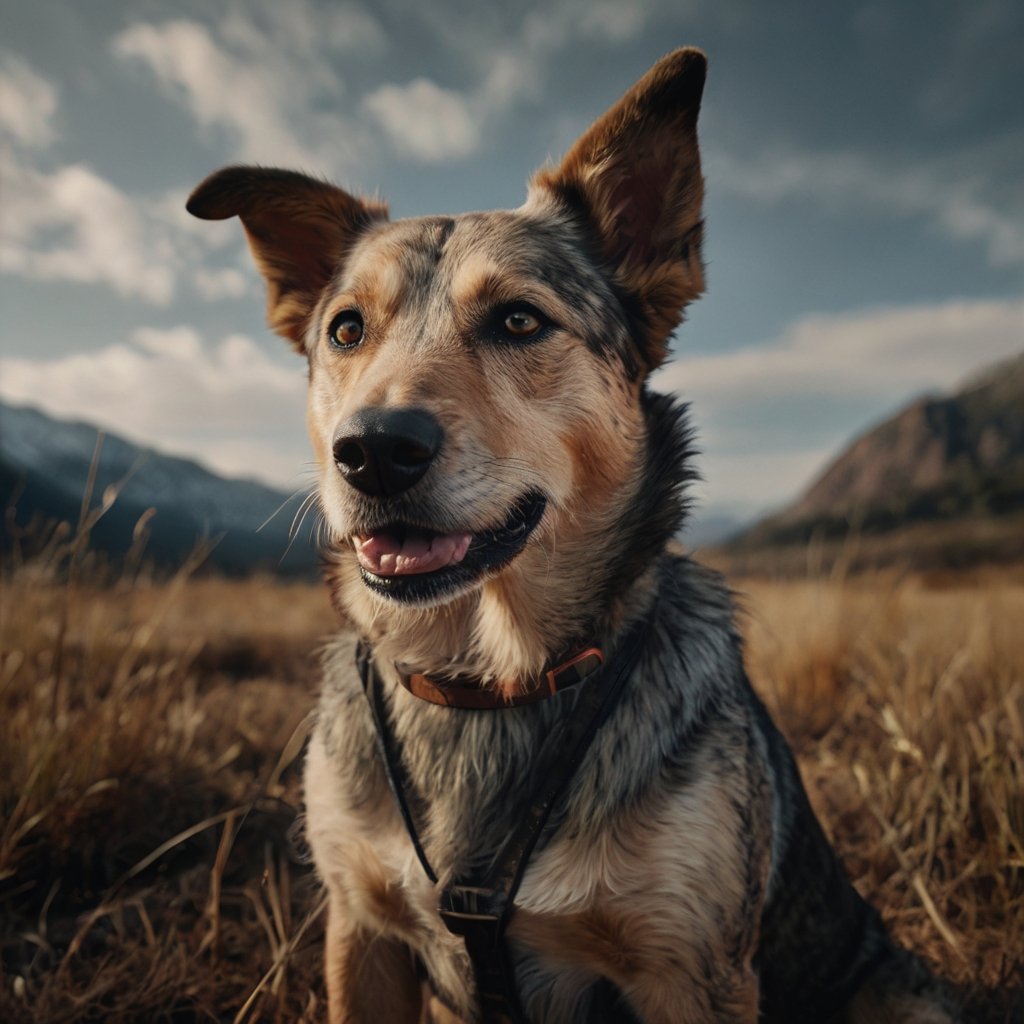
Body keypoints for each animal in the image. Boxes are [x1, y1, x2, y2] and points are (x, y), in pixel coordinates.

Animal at [186, 48, 958, 1024]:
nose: (371, 453)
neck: (489, 685)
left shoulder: (692, 972)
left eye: (520, 320)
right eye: (346, 330)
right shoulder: (360, 931)